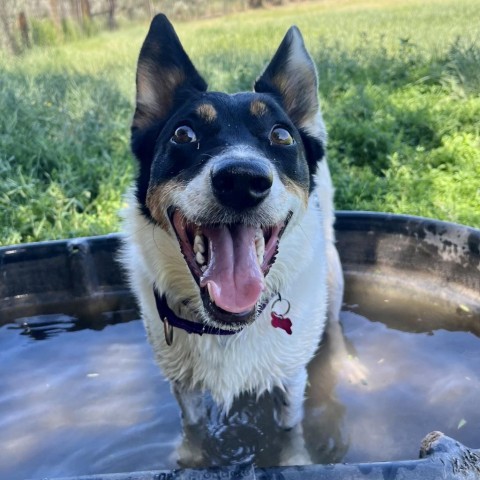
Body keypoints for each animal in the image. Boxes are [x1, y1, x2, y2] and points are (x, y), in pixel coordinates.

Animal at [120, 14, 344, 464]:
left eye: (281, 136)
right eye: (183, 134)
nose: (242, 180)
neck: (226, 328)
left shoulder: (290, 376)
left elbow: (290, 429)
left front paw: (294, 460)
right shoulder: (182, 383)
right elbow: (193, 426)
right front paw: (192, 458)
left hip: (333, 274)